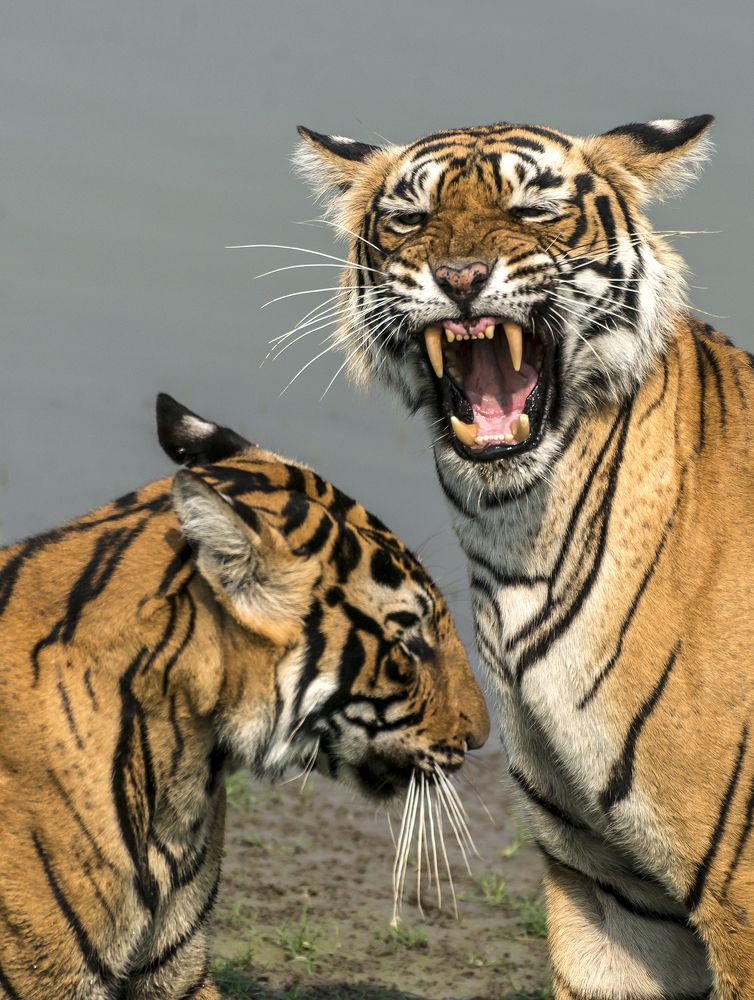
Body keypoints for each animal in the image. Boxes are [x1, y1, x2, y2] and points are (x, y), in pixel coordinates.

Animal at [293, 115, 754, 999]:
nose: (460, 277)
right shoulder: (608, 883)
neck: (517, 540)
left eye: (534, 208)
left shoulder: (740, 897)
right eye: (409, 218)